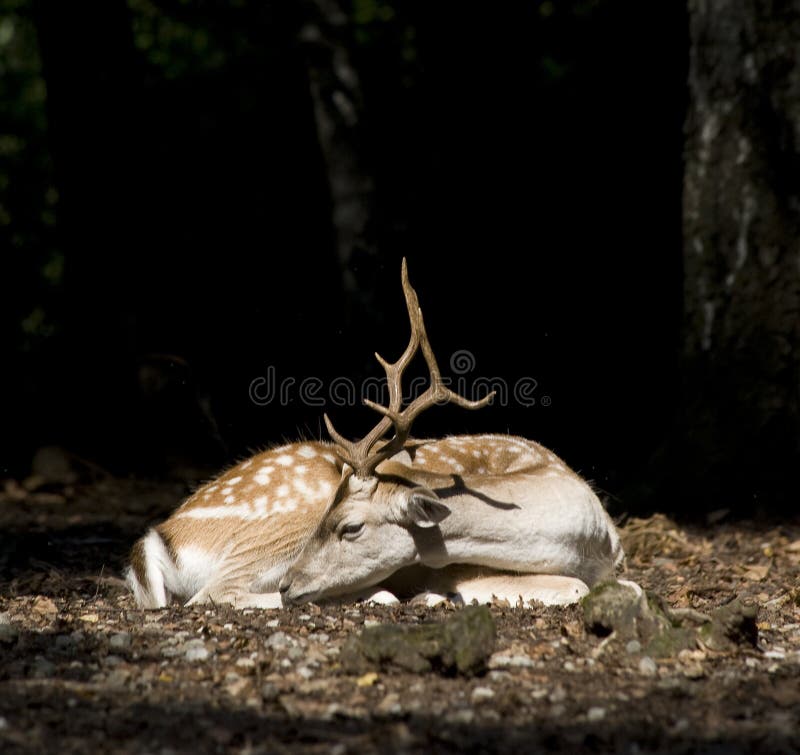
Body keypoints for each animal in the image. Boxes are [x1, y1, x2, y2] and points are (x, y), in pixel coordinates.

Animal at [126, 260, 626, 610]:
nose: (290, 584)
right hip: (278, 528)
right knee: (212, 593)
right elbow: (571, 587)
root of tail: (163, 535)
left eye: (351, 526)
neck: (588, 537)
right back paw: (381, 597)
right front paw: (432, 596)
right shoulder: (455, 569)